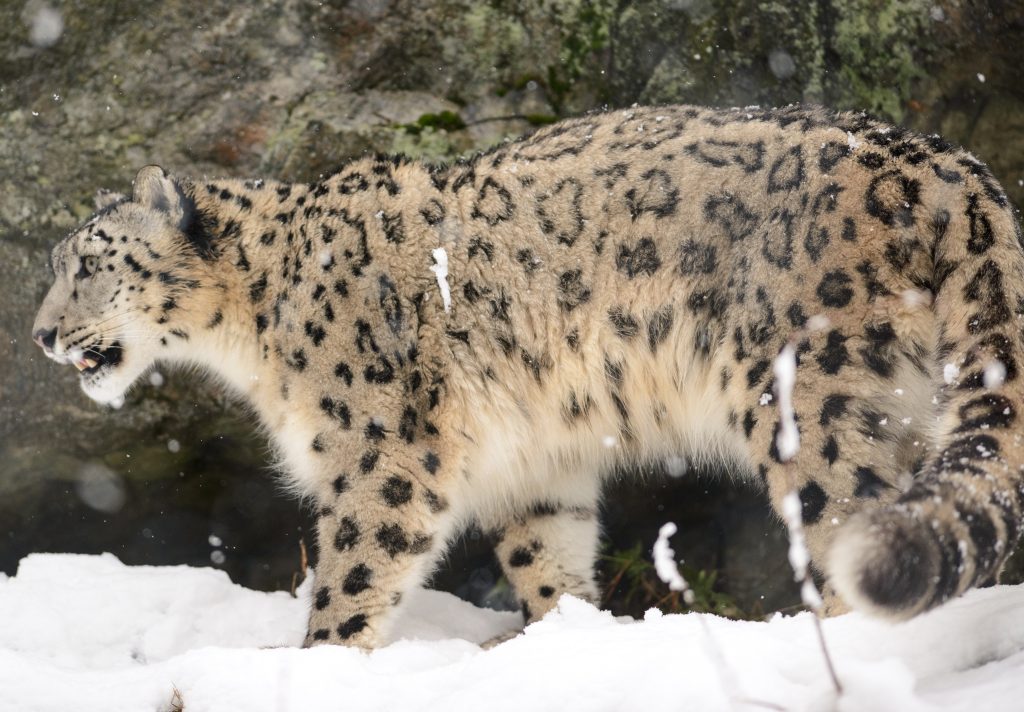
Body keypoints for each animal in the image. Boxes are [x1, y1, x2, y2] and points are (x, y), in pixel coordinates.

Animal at [32, 103, 1024, 648]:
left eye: (86, 264)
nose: (40, 335)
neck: (255, 337)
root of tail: (946, 167)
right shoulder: (537, 464)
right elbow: (546, 560)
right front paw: (568, 642)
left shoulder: (381, 454)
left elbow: (352, 578)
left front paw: (314, 665)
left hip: (815, 406)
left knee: (857, 523)